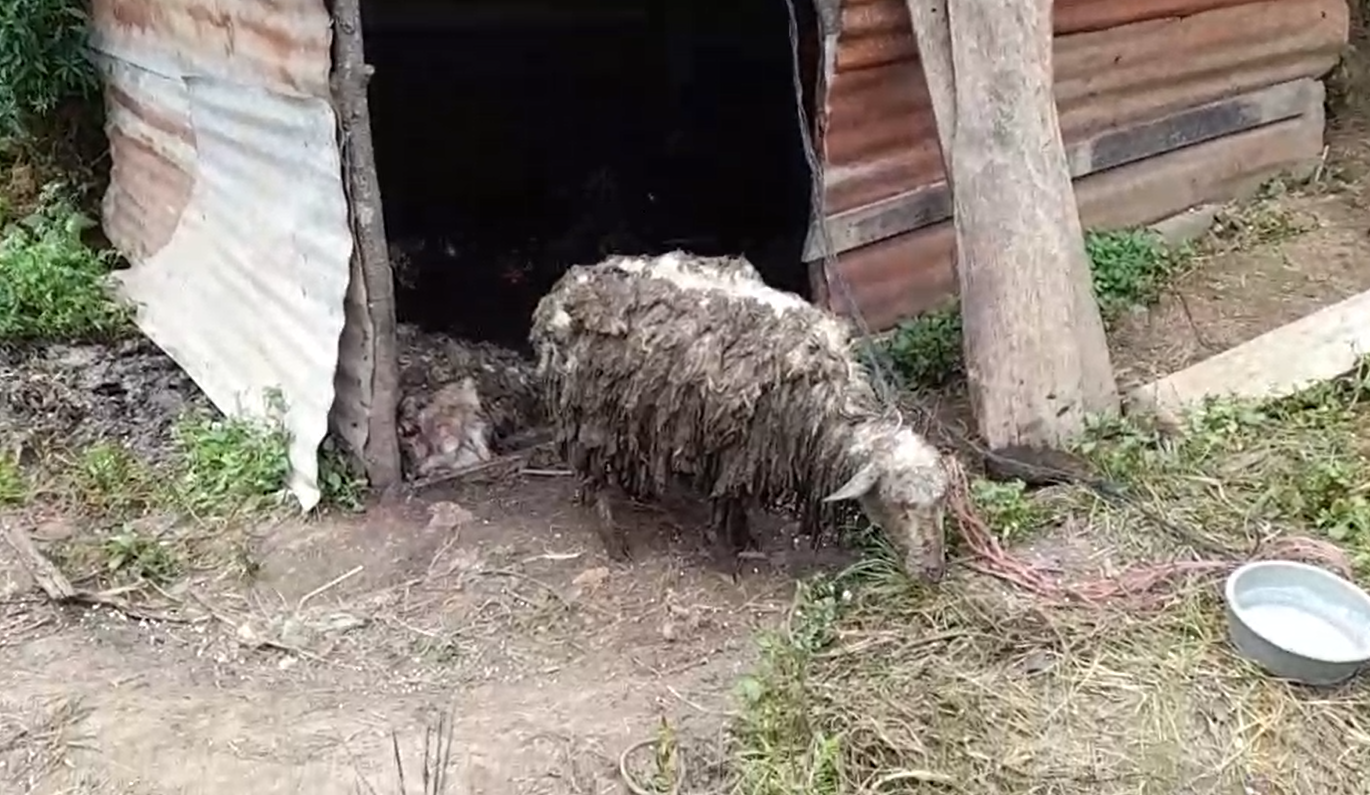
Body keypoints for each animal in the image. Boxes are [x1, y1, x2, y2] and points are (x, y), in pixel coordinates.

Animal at [528, 251, 952, 580]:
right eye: (899, 506)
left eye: (940, 503)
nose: (932, 572)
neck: (824, 402)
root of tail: (560, 291)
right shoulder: (730, 445)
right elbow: (728, 500)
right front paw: (727, 557)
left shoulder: (753, 449)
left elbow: (741, 498)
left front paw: (746, 539)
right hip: (586, 411)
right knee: (595, 478)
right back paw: (614, 541)